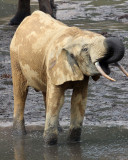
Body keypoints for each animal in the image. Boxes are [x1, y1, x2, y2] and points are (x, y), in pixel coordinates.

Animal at [10, 10, 128, 144]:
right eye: (85, 49)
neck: (74, 38)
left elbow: (79, 100)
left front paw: (73, 143)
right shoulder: (54, 63)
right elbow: (57, 101)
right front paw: (49, 144)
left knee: (46, 94)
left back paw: (60, 130)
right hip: (15, 59)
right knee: (21, 93)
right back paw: (19, 134)